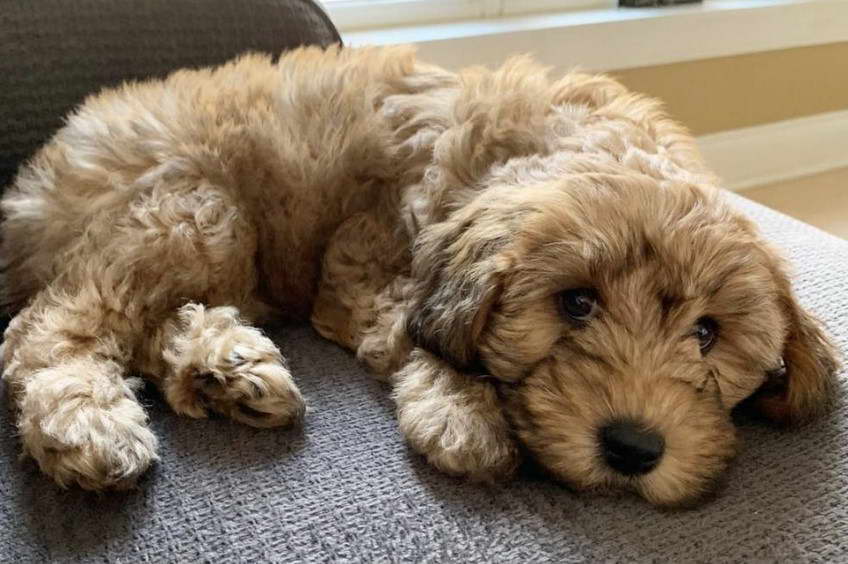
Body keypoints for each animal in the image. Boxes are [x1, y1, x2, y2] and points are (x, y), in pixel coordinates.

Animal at [0, 43, 840, 502]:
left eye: (707, 334)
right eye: (575, 304)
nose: (634, 448)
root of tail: (37, 185)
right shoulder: (362, 260)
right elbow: (413, 331)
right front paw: (462, 413)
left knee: (147, 322)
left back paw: (223, 370)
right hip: (192, 212)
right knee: (52, 326)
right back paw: (88, 424)